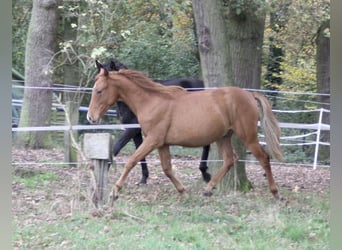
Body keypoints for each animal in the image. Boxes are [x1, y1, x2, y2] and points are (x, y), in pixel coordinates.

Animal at [87, 62, 282, 203]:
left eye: (99, 91)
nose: (90, 117)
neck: (152, 101)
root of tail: (249, 94)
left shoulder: (152, 140)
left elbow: (131, 161)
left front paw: (114, 192)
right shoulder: (162, 143)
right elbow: (167, 169)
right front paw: (183, 191)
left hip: (248, 136)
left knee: (264, 158)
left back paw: (275, 193)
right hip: (223, 137)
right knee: (229, 159)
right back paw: (208, 189)